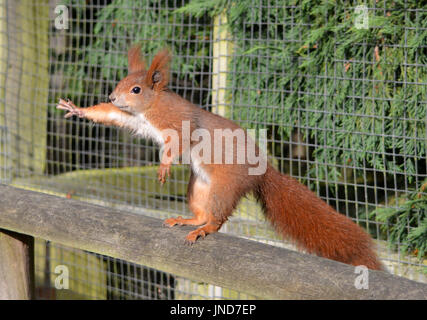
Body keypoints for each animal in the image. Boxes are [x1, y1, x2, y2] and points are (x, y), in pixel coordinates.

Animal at [57, 45, 384, 270]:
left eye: (136, 88)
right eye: (123, 81)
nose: (112, 96)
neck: (150, 107)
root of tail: (262, 171)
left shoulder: (178, 123)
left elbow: (176, 143)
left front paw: (164, 166)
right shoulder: (132, 118)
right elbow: (110, 116)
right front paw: (77, 109)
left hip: (224, 188)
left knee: (217, 220)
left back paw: (203, 230)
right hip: (198, 187)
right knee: (204, 213)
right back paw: (188, 221)